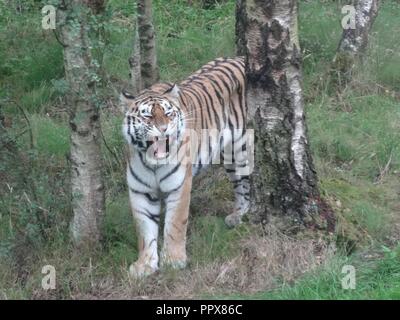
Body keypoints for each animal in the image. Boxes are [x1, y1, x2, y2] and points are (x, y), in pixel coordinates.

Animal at [119, 57, 252, 278]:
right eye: (147, 116)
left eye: (168, 114)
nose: (163, 129)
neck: (152, 162)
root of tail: (241, 58)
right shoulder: (140, 192)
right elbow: (144, 230)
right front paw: (144, 265)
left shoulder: (179, 186)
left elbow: (175, 225)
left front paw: (173, 261)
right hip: (230, 157)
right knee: (240, 186)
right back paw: (236, 215)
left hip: (241, 151)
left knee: (247, 185)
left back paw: (242, 216)